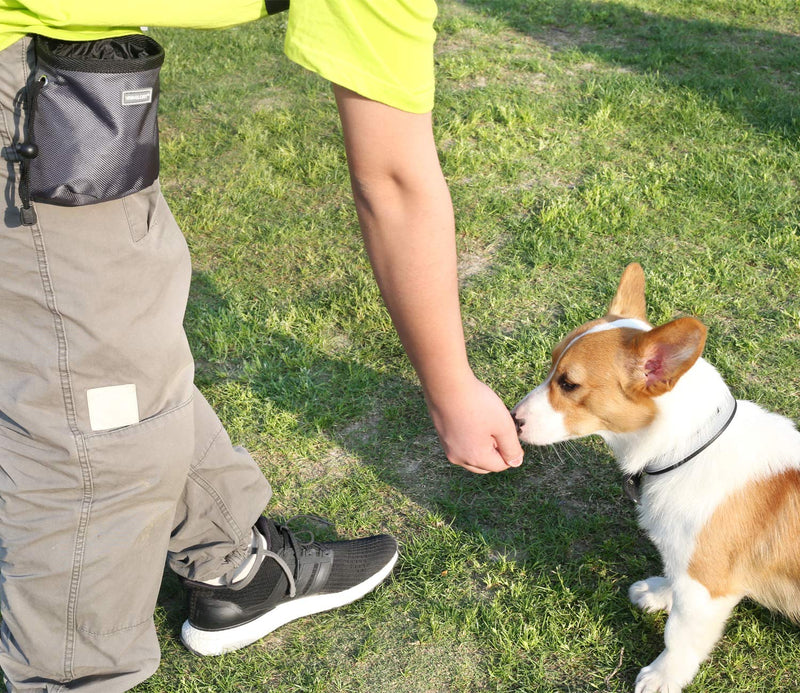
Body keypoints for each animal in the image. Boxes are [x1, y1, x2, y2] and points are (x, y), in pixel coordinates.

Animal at [512, 264, 800, 692]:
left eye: (568, 383)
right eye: (551, 364)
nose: (512, 418)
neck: (688, 447)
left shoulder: (704, 588)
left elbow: (679, 635)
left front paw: (663, 676)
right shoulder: (689, 571)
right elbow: (672, 580)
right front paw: (659, 592)